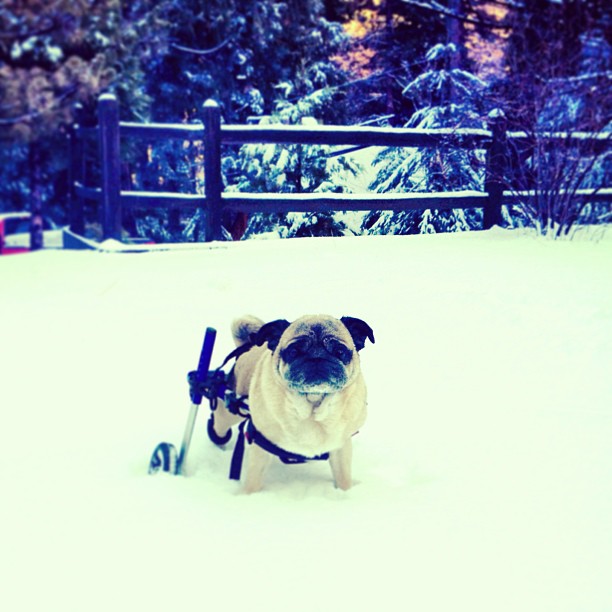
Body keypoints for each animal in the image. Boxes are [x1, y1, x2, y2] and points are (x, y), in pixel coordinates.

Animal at [209, 316, 372, 492]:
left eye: (339, 351)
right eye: (294, 352)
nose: (316, 357)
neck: (312, 407)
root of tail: (249, 347)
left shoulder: (341, 447)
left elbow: (343, 478)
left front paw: (344, 493)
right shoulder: (261, 444)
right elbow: (253, 480)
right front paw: (249, 495)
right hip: (232, 410)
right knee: (220, 421)